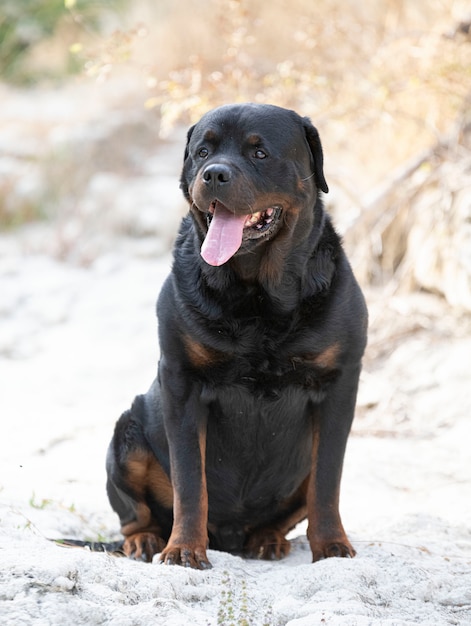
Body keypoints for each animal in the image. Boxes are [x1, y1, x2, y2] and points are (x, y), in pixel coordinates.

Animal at [106, 102, 368, 564]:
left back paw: (268, 539)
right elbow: (190, 481)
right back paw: (145, 540)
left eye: (259, 152)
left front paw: (332, 545)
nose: (213, 174)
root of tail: (232, 536)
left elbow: (327, 480)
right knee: (135, 513)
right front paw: (183, 549)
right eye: (203, 151)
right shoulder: (182, 383)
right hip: (127, 435)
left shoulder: (339, 382)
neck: (257, 297)